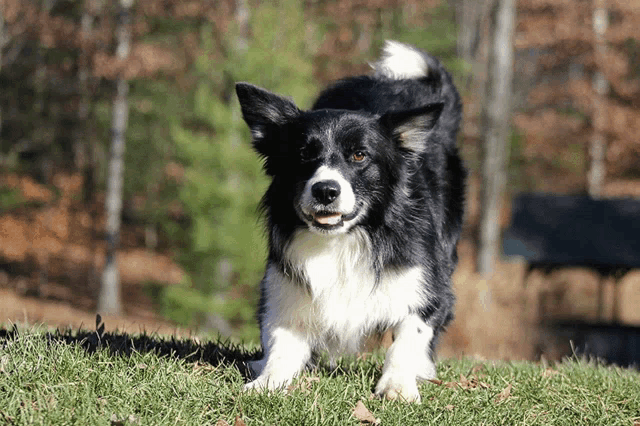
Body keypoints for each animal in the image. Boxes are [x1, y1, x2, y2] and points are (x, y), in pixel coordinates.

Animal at [235, 40, 464, 402]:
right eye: (303, 153)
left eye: (359, 155)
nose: (325, 190)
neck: (343, 241)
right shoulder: (284, 283)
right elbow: (281, 340)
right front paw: (268, 381)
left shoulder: (427, 285)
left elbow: (408, 336)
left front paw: (398, 385)